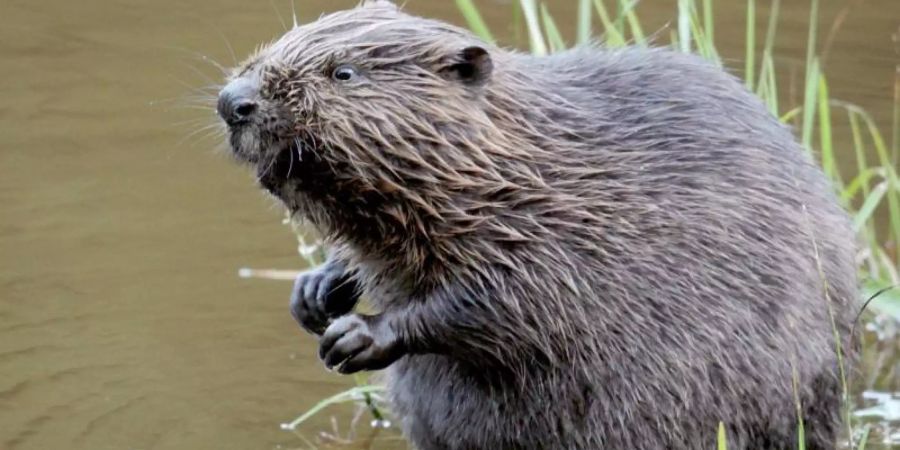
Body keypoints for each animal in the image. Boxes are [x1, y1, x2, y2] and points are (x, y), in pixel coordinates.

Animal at [216, 1, 856, 448]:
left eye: (344, 73)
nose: (233, 100)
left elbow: (505, 305)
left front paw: (356, 336)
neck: (516, 161)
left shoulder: (558, 234)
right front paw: (315, 292)